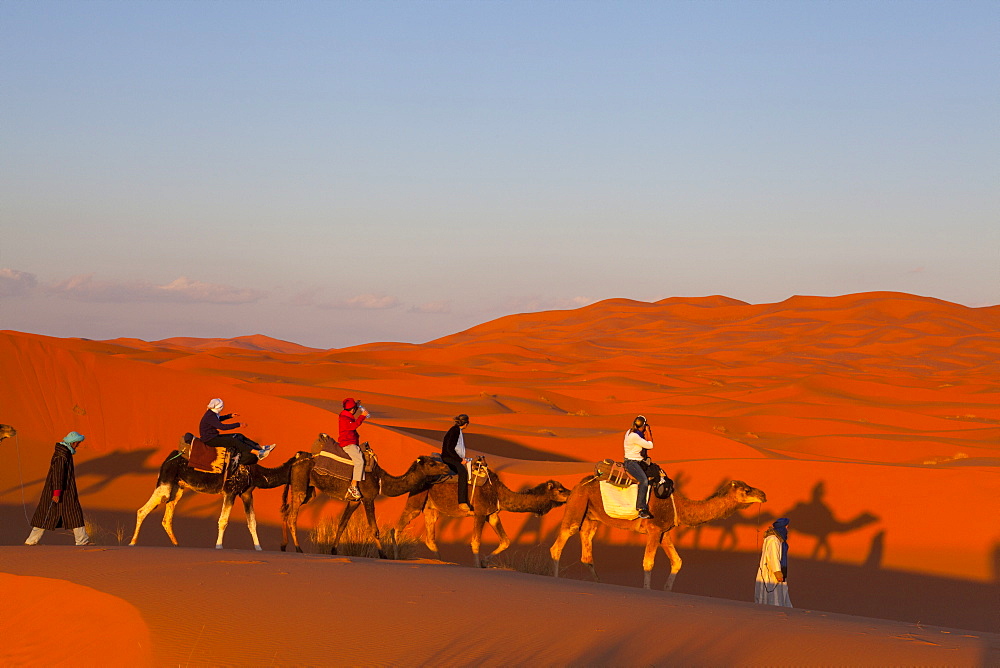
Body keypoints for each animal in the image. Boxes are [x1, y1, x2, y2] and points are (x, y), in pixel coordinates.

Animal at [130, 444, 308, 548]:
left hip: (178, 486)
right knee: (143, 510)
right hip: (166, 481)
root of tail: (167, 458)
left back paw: (176, 544)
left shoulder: (246, 494)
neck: (255, 472)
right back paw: (132, 543)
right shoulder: (230, 491)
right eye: (308, 459)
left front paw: (258, 548)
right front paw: (219, 546)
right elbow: (223, 521)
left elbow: (252, 523)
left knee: (167, 516)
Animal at [282, 434, 454, 560]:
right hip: (300, 485)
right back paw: (298, 549)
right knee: (292, 517)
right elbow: (374, 529)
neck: (380, 479)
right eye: (431, 464)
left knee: (287, 511)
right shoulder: (368, 498)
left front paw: (333, 551)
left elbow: (342, 524)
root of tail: (295, 458)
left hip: (307, 491)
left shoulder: (354, 501)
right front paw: (383, 555)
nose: (447, 467)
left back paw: (283, 546)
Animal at [394, 470, 576, 568]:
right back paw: (395, 556)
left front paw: (484, 562)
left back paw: (440, 561)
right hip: (417, 499)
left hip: (431, 508)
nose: (571, 493)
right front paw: (477, 565)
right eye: (560, 490)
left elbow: (506, 541)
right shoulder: (480, 513)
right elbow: (475, 542)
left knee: (430, 538)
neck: (498, 492)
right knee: (399, 525)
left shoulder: (492, 514)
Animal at [548, 480, 764, 588]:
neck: (678, 506)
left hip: (591, 518)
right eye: (746, 490)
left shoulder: (664, 531)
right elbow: (648, 563)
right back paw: (556, 579)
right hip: (577, 506)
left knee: (587, 554)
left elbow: (677, 561)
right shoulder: (653, 529)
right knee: (558, 545)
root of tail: (576, 487)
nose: (763, 494)